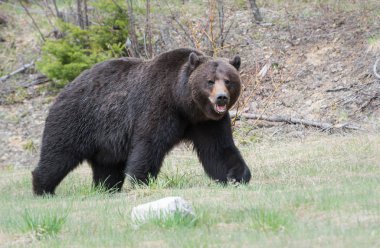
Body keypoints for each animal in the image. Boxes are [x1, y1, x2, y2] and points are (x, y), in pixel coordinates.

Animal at [32, 48, 251, 196]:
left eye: (228, 80)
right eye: (210, 81)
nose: (221, 98)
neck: (183, 102)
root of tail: (65, 88)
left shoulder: (206, 122)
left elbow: (218, 149)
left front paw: (239, 175)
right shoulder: (158, 107)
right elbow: (148, 144)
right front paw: (142, 180)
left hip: (106, 143)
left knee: (107, 168)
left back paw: (106, 188)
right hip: (77, 120)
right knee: (58, 155)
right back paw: (42, 188)